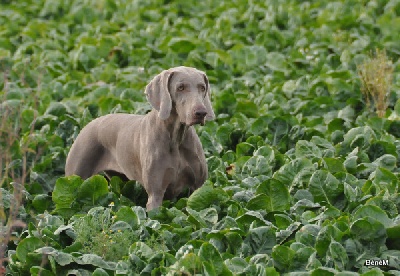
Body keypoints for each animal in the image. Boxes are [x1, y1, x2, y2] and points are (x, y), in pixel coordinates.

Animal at [65, 66, 216, 209]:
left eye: (202, 87)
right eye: (181, 87)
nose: (201, 112)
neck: (176, 138)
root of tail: (87, 123)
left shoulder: (197, 189)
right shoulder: (156, 194)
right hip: (76, 177)